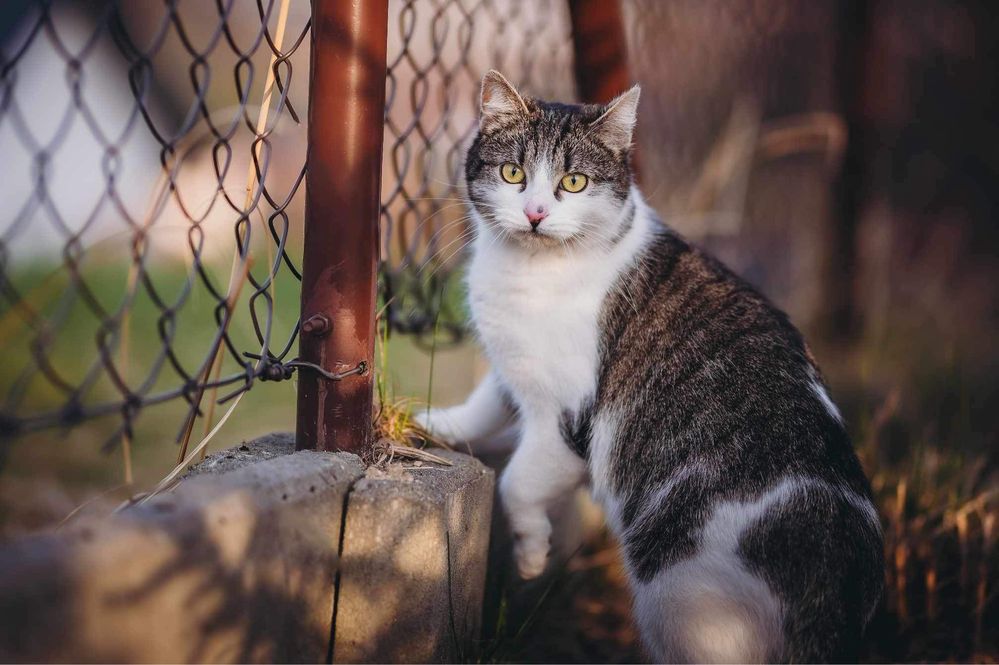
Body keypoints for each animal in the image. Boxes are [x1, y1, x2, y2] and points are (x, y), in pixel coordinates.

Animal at [418, 70, 888, 660]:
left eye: (574, 182)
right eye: (513, 173)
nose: (535, 214)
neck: (527, 270)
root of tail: (838, 591)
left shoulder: (568, 419)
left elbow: (518, 482)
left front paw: (530, 554)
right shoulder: (514, 365)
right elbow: (486, 401)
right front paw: (440, 425)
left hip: (683, 601)